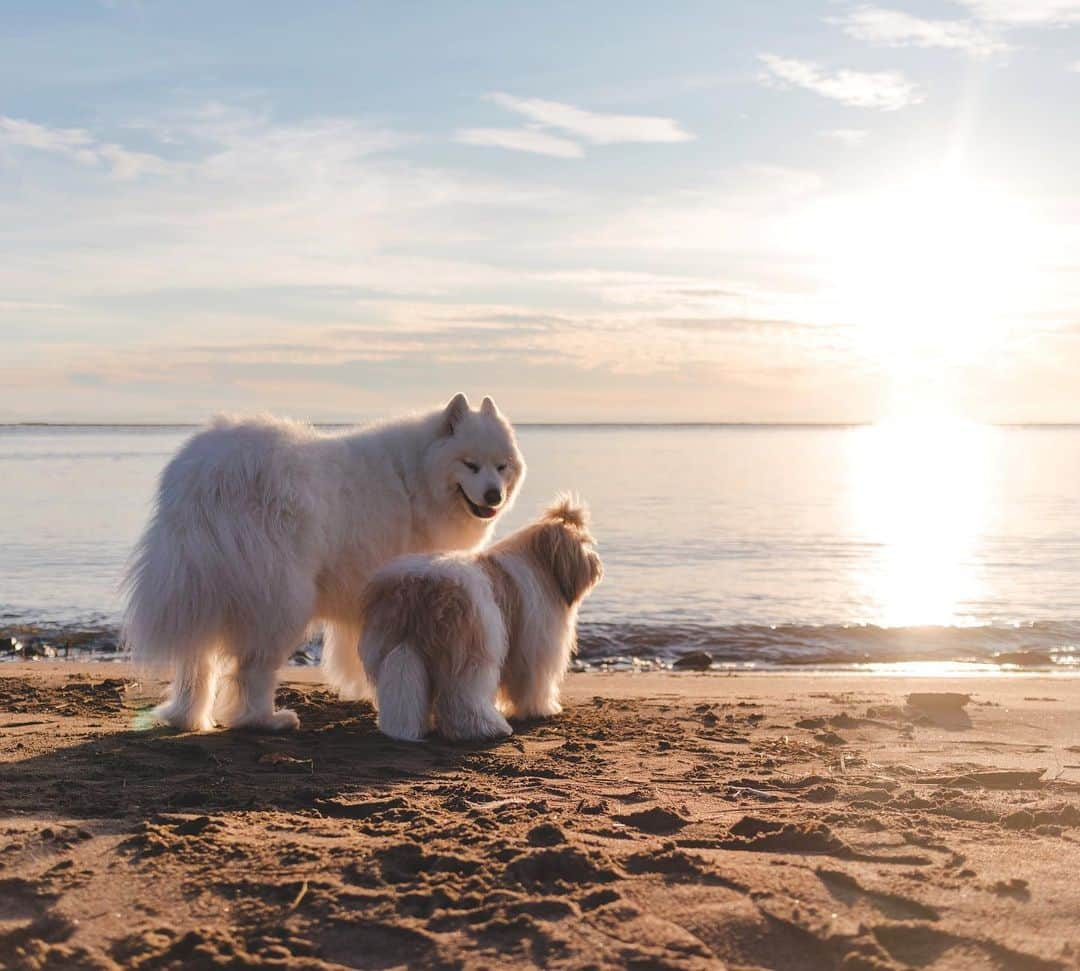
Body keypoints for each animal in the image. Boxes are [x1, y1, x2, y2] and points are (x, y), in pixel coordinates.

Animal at [124, 393, 524, 730]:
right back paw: (266, 720)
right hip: (282, 597)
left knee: (196, 658)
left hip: (201, 588)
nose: (494, 495)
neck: (416, 477)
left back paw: (184, 717)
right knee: (253, 667)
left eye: (501, 466)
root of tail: (206, 476)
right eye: (470, 465)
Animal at [360, 496, 600, 738]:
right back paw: (488, 728)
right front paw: (541, 709)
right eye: (583, 542)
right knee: (464, 698)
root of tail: (416, 594)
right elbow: (535, 683)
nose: (597, 564)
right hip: (474, 650)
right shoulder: (537, 648)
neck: (540, 564)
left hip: (390, 648)